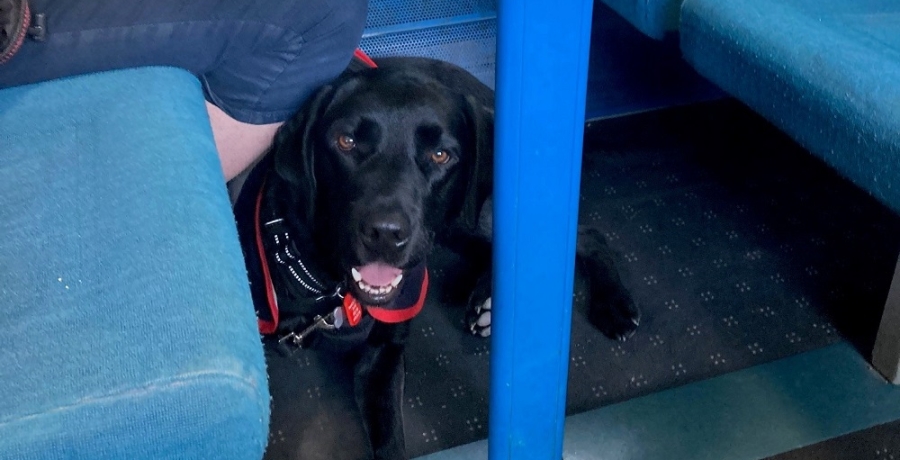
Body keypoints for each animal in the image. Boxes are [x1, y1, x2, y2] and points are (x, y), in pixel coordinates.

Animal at [232, 56, 640, 460]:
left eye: (441, 154)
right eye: (345, 142)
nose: (385, 233)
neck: (333, 293)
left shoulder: (383, 356)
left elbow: (391, 443)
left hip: (476, 210)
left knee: (585, 236)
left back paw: (612, 306)